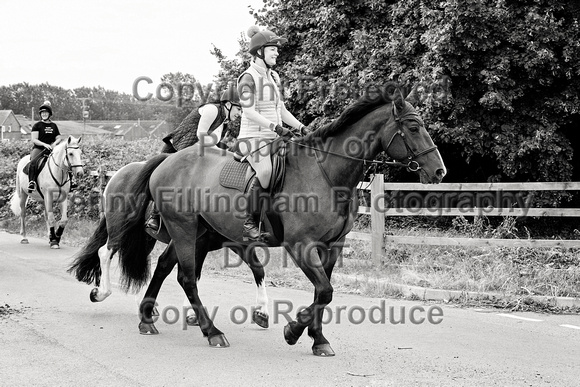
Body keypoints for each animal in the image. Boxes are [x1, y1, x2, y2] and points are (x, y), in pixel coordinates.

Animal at [71, 85, 444, 358]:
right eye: (413, 127)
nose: (440, 172)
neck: (326, 172)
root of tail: (164, 162)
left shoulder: (331, 246)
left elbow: (322, 292)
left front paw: (316, 338)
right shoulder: (299, 245)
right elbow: (323, 289)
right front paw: (293, 331)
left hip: (196, 234)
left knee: (165, 267)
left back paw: (148, 318)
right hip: (179, 227)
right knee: (170, 271)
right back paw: (208, 331)